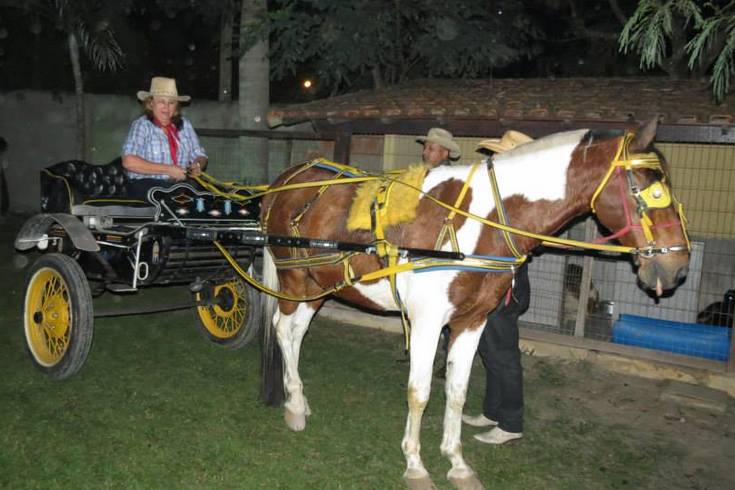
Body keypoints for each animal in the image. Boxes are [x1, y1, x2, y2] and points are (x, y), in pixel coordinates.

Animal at [258, 119, 688, 490]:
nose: (677, 267)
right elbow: (420, 393)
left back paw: (299, 400)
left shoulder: (473, 321)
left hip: (319, 286)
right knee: (283, 330)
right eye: (651, 191)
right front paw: (415, 466)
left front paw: (457, 464)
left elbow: (457, 390)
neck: (482, 220)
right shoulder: (428, 322)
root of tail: (285, 180)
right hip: (295, 279)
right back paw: (293, 406)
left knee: (295, 333)